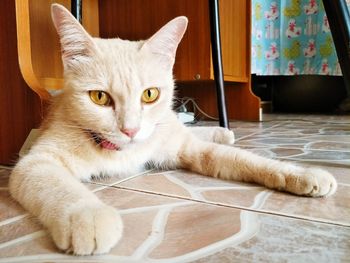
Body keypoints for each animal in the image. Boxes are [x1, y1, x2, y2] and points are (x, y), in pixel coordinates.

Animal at [8, 3, 336, 256]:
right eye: (99, 97)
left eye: (149, 94)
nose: (130, 130)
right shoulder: (35, 162)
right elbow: (57, 184)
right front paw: (87, 216)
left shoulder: (187, 148)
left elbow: (243, 159)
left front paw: (302, 174)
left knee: (185, 129)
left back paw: (222, 131)